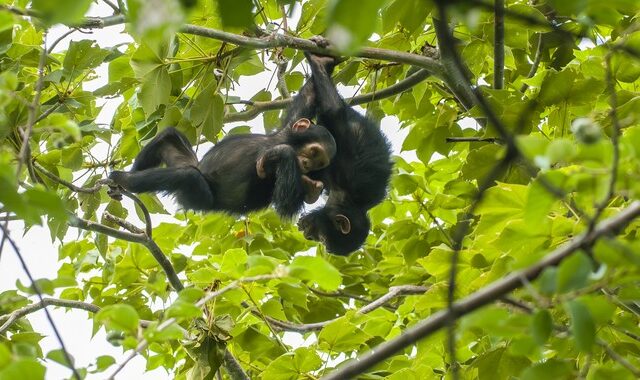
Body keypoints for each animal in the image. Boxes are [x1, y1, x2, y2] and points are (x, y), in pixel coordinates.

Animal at [109, 119, 340, 220]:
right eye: (314, 153)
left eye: (319, 163)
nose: (307, 164)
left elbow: (286, 205)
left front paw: (283, 152)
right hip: (187, 160)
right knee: (169, 135)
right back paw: (119, 187)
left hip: (198, 198)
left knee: (188, 176)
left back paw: (124, 180)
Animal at [294, 49, 392, 255]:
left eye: (322, 240)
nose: (308, 236)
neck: (348, 199)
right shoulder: (349, 176)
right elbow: (333, 110)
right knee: (334, 110)